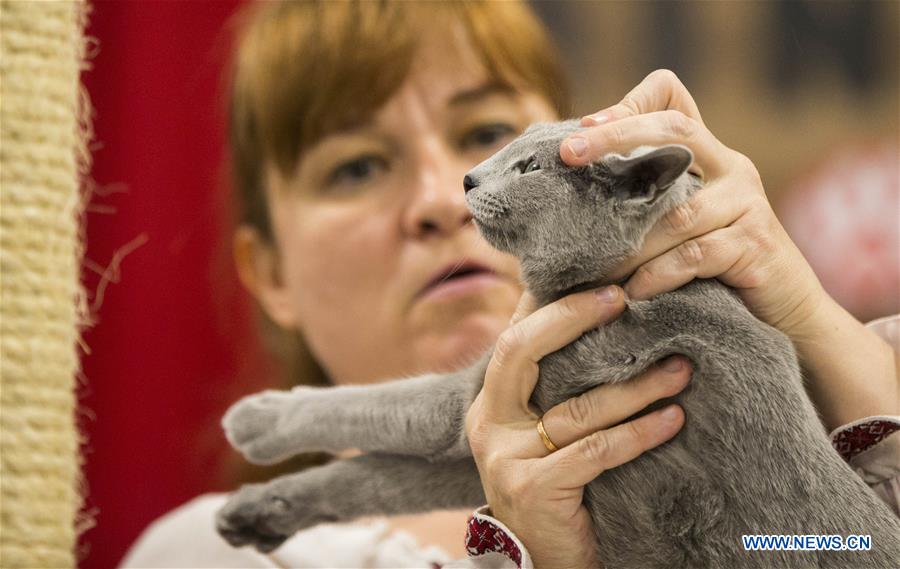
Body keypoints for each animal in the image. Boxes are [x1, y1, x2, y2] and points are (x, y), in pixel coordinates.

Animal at [216, 120, 900, 564]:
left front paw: (257, 418)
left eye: (529, 168)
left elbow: (375, 408)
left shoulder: (498, 386)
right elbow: (373, 479)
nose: (467, 179)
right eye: (510, 147)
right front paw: (255, 510)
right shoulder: (493, 436)